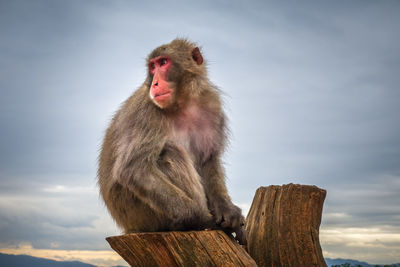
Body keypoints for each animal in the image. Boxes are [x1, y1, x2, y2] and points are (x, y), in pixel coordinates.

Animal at [98, 38, 245, 246]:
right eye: (152, 67)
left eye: (163, 62)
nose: (155, 83)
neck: (183, 104)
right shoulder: (147, 111)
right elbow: (134, 169)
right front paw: (203, 218)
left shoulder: (212, 106)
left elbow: (209, 159)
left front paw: (228, 211)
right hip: (142, 215)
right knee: (169, 151)